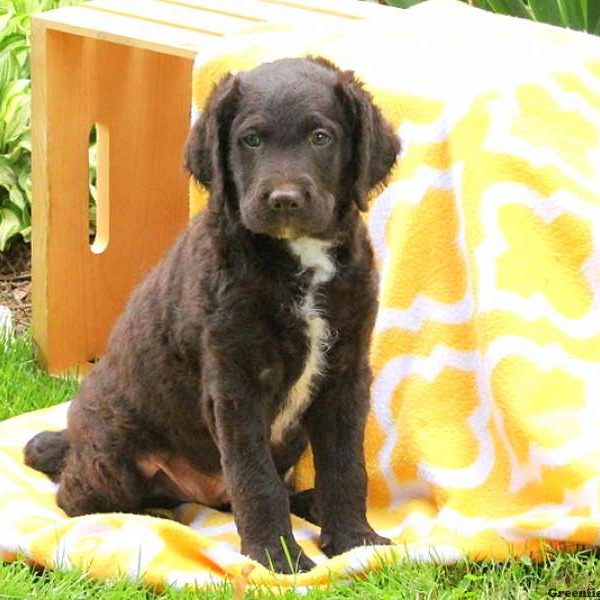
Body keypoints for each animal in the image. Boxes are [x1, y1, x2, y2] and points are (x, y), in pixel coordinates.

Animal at [24, 56, 398, 572]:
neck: (297, 259)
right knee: (75, 498)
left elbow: (345, 465)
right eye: (251, 139)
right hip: (114, 448)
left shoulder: (346, 371)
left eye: (321, 137)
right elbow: (255, 479)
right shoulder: (235, 380)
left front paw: (354, 541)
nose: (284, 199)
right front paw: (278, 559)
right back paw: (153, 514)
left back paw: (310, 504)